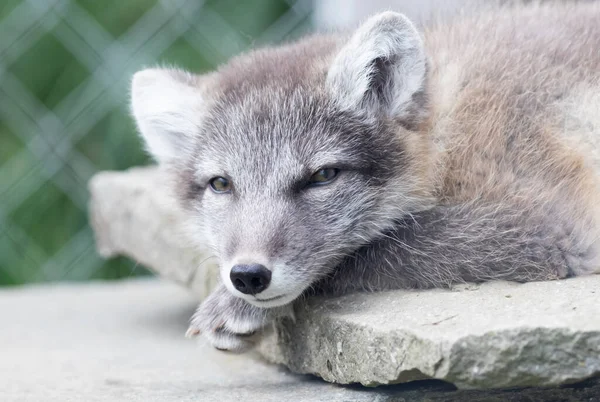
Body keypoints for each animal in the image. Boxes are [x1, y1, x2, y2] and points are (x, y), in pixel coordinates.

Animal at [130, 1, 600, 350]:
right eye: (221, 184)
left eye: (323, 176)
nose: (247, 276)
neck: (445, 135)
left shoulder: (548, 226)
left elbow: (374, 248)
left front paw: (231, 306)